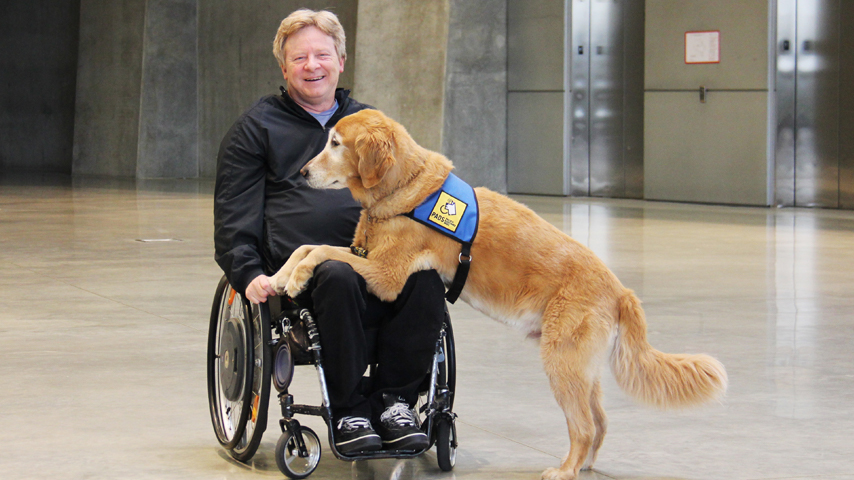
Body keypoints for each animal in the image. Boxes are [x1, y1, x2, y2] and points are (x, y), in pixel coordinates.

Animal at [270, 109, 728, 480]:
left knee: (582, 426)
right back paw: (584, 465)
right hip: (583, 370)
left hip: (562, 364)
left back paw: (565, 469)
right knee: (599, 422)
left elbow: (321, 251)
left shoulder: (386, 275)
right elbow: (305, 246)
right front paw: (277, 277)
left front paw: (297, 278)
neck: (408, 188)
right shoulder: (367, 257)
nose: (302, 172)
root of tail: (621, 290)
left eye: (335, 143)